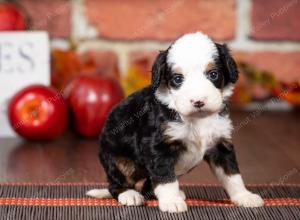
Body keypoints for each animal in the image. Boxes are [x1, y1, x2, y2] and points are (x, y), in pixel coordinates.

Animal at [86, 31, 262, 212]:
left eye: (213, 74)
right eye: (178, 79)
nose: (198, 101)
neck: (197, 119)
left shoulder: (221, 144)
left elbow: (232, 175)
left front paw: (244, 196)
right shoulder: (158, 146)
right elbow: (165, 178)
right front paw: (171, 202)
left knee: (148, 184)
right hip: (118, 160)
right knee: (117, 184)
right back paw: (130, 195)